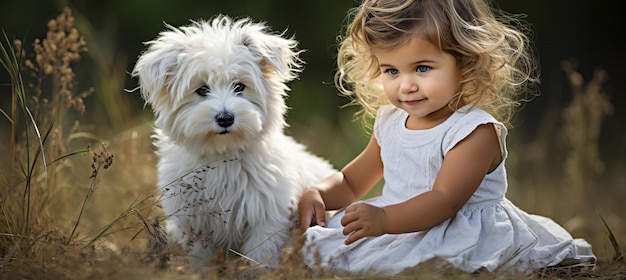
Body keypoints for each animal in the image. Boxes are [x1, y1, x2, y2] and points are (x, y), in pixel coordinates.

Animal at [132, 14, 334, 270]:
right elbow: (200, 261)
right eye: (202, 90)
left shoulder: (265, 220)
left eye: (239, 86)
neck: (223, 155)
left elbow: (259, 258)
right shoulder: (194, 223)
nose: (225, 118)